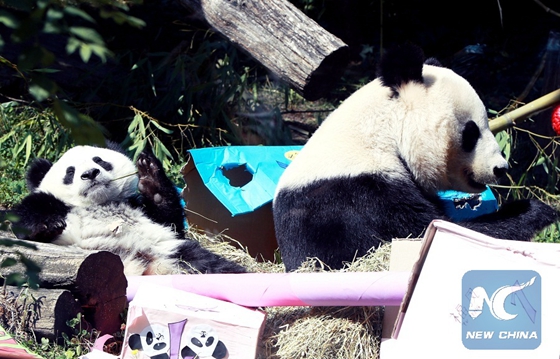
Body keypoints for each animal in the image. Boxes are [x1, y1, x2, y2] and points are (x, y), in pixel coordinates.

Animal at [12, 143, 245, 276]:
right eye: (70, 172)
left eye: (100, 160)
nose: (90, 173)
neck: (101, 204)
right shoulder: (59, 207)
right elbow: (27, 214)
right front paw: (47, 225)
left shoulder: (141, 210)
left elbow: (170, 220)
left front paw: (150, 178)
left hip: (173, 252)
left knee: (214, 266)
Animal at [274, 43, 556, 272]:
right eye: (471, 132)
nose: (501, 168)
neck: (380, 133)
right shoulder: (358, 198)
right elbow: (427, 232)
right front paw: (534, 209)